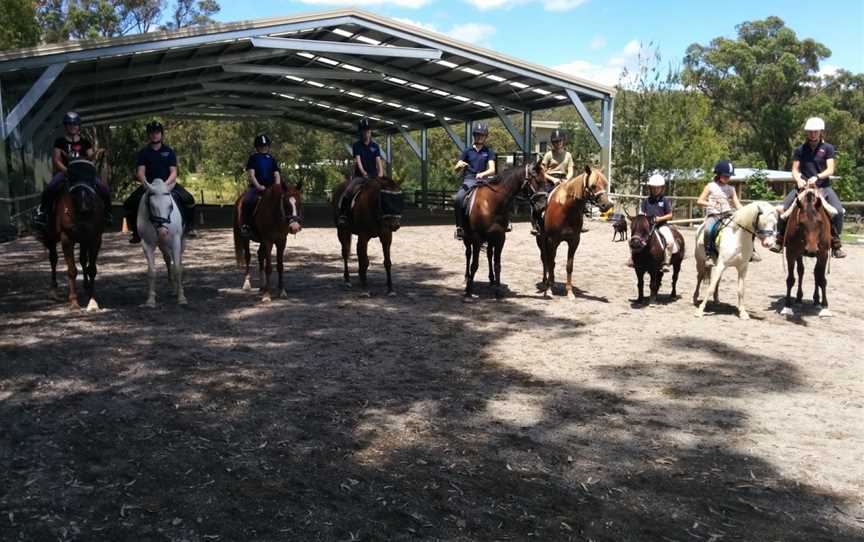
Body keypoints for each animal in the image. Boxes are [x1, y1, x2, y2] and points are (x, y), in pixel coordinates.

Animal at [41, 160, 108, 310]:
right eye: (71, 176)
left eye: (92, 175)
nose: (85, 208)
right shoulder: (67, 238)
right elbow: (71, 270)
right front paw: (73, 302)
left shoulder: (95, 238)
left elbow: (91, 269)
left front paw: (92, 301)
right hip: (51, 237)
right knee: (53, 259)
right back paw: (53, 290)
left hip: (84, 240)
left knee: (83, 260)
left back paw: (86, 286)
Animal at [138, 177, 186, 306]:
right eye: (152, 206)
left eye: (170, 206)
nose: (163, 232)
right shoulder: (147, 244)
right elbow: (151, 272)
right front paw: (150, 300)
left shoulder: (175, 242)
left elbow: (178, 269)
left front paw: (181, 298)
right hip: (162, 245)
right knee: (168, 260)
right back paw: (173, 288)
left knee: (176, 261)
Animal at [462, 164, 544, 300]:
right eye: (537, 181)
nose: (543, 205)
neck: (491, 203)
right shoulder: (477, 237)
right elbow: (474, 264)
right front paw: (468, 292)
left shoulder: (500, 238)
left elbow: (497, 265)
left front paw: (498, 291)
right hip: (467, 238)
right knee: (468, 254)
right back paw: (466, 279)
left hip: (490, 239)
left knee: (489, 255)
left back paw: (491, 280)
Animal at [532, 167, 616, 300]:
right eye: (593, 186)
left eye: (605, 184)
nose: (607, 205)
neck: (566, 208)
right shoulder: (552, 240)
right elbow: (550, 263)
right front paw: (549, 290)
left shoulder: (574, 241)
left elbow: (569, 266)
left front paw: (570, 292)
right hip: (541, 240)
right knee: (545, 260)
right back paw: (546, 282)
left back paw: (552, 282)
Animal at [780, 190, 832, 320]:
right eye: (801, 223)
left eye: (820, 222)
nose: (811, 251)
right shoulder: (791, 253)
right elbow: (790, 279)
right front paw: (787, 307)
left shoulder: (823, 254)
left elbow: (822, 279)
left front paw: (825, 307)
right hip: (799, 254)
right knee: (801, 271)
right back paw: (799, 299)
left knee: (816, 274)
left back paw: (817, 301)